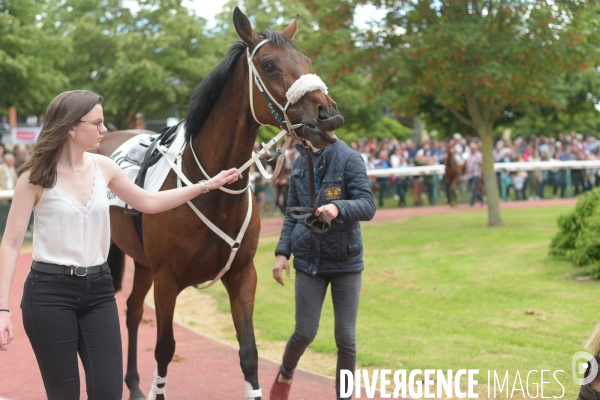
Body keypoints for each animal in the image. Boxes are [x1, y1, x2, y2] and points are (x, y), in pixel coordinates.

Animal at [96, 7, 344, 400]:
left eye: (307, 61)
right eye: (270, 65)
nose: (328, 114)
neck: (212, 191)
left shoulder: (242, 275)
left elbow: (249, 352)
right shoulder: (168, 279)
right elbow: (164, 349)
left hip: (144, 262)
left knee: (134, 310)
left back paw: (133, 384)